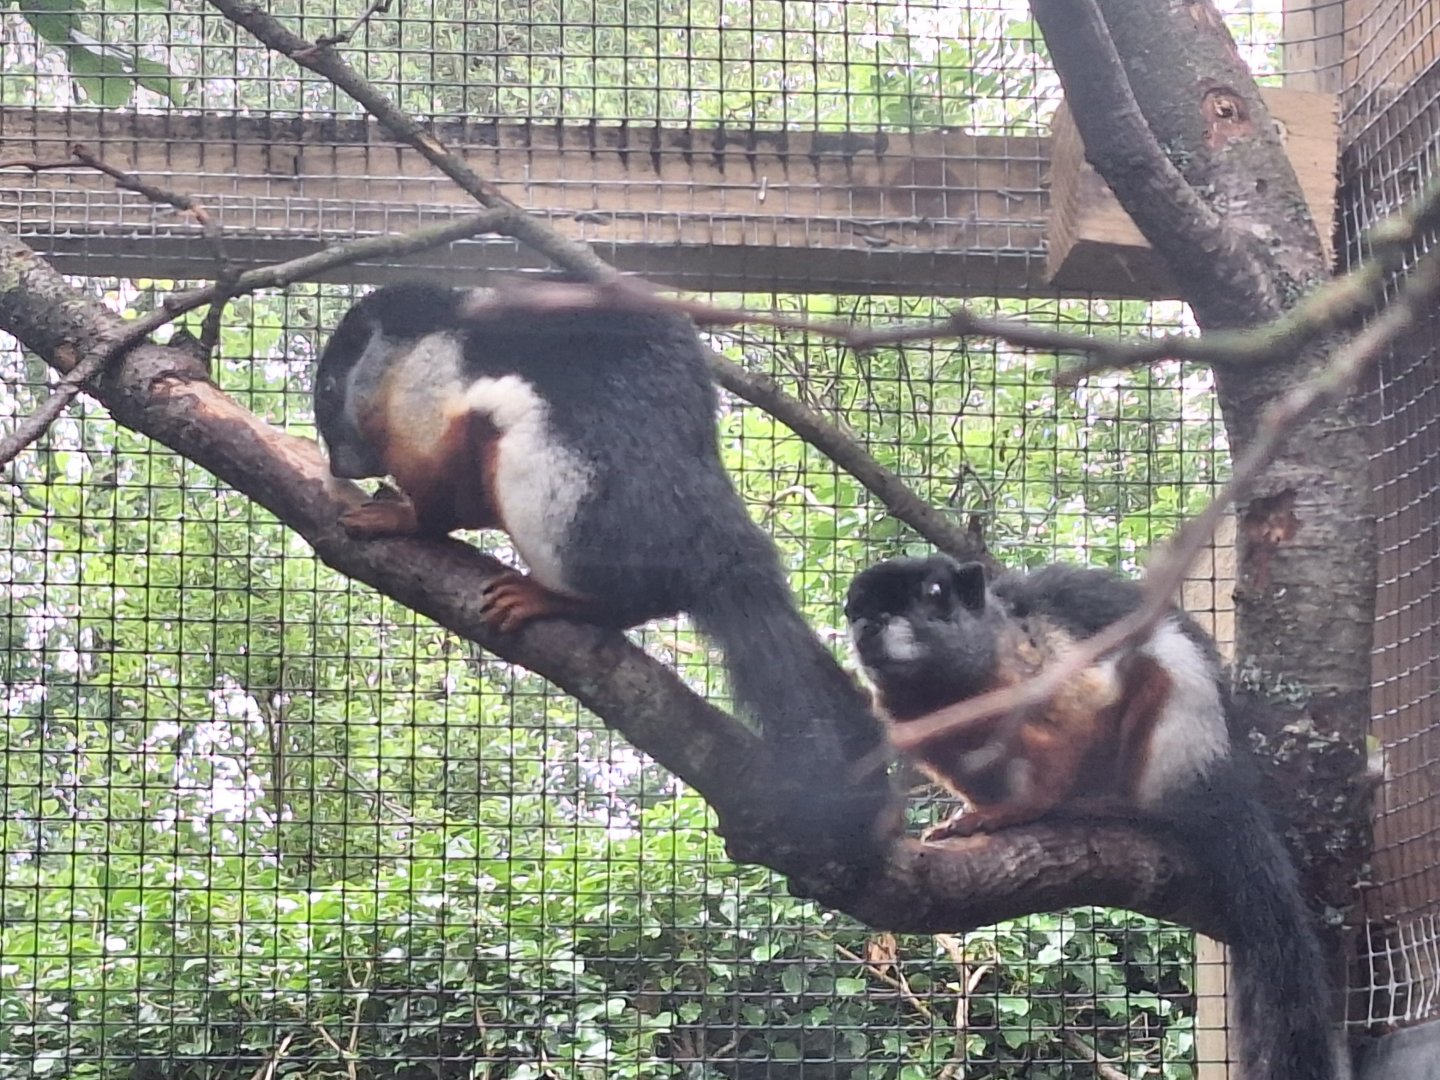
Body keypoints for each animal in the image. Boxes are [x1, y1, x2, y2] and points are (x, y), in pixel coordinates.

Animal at [311, 280, 898, 859]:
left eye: (330, 388)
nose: (339, 465)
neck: (419, 336)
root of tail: (716, 544)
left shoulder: (427, 394)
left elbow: (439, 493)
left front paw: (402, 516)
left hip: (550, 490)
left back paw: (552, 599)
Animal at [844, 553, 1341, 1080]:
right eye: (852, 610)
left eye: (936, 594)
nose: (867, 626)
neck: (947, 692)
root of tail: (1219, 778)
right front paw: (973, 815)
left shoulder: (1066, 684)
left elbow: (1065, 751)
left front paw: (1012, 813)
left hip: (1171, 733)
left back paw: (1104, 806)